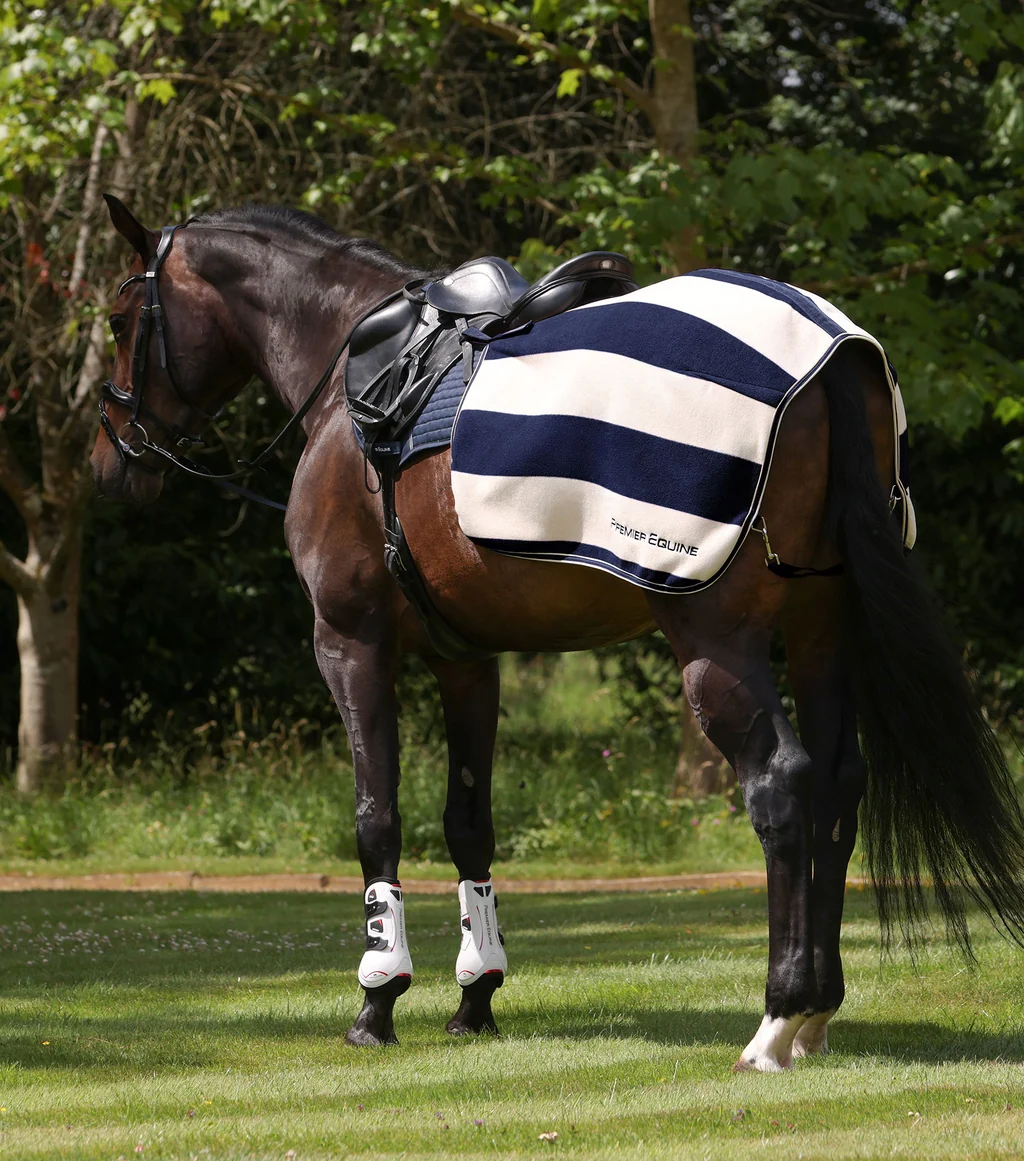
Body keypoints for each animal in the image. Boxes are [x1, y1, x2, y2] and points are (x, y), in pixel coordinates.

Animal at [89, 195, 1024, 1072]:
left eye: (121, 320)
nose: (108, 463)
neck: (354, 373)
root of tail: (831, 358)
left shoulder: (350, 643)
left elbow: (375, 817)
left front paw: (378, 999)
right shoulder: (468, 660)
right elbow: (470, 822)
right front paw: (476, 996)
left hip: (716, 640)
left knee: (782, 785)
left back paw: (776, 1018)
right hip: (821, 627)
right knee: (836, 783)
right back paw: (819, 1012)